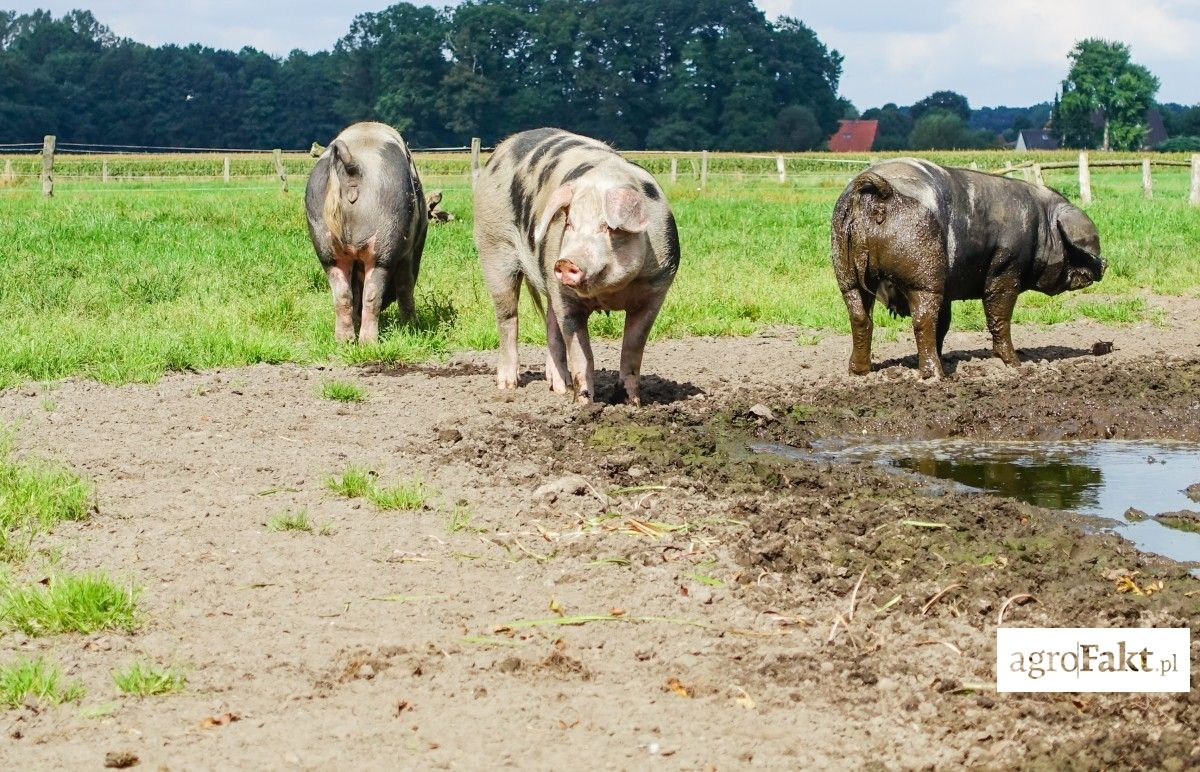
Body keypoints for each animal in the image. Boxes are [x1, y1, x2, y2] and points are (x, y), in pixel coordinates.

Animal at [304, 121, 432, 343]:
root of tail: (354, 165)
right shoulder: (409, 251)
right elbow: (405, 285)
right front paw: (412, 326)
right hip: (384, 242)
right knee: (373, 294)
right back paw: (369, 343)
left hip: (324, 244)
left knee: (342, 294)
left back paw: (345, 341)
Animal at [477, 126, 686, 405]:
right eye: (569, 224)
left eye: (608, 227)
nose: (566, 261)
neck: (609, 294)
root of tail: (503, 147)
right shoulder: (568, 301)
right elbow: (582, 356)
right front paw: (584, 405)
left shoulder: (656, 292)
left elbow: (632, 351)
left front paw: (632, 404)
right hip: (494, 246)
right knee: (508, 316)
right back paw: (508, 386)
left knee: (551, 324)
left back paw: (560, 387)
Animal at [835, 158, 1104, 379]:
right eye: (1076, 247)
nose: (1104, 265)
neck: (1041, 228)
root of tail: (880, 190)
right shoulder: (1006, 269)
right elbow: (998, 316)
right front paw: (1014, 366)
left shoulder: (947, 289)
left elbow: (944, 325)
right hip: (923, 276)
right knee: (922, 319)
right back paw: (936, 376)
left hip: (846, 273)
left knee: (860, 317)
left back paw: (858, 372)